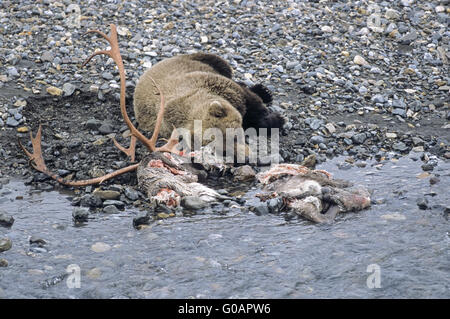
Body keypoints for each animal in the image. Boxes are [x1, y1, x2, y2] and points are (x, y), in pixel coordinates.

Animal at [132, 52, 284, 152]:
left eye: (234, 137)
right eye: (219, 149)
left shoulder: (221, 86)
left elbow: (253, 105)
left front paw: (277, 119)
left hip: (198, 60)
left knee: (223, 65)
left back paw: (264, 91)